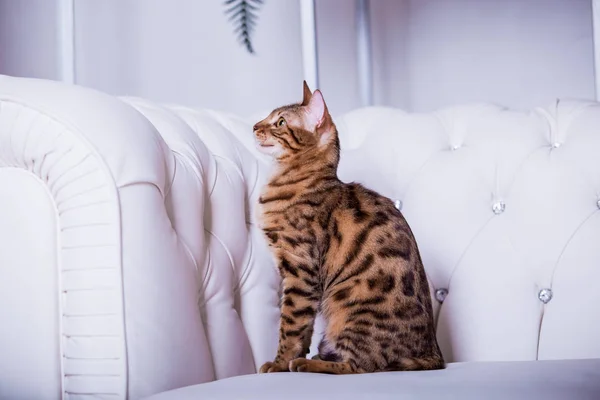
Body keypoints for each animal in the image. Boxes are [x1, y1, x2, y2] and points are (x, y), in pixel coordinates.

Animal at [253, 82, 446, 376]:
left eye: (281, 122)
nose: (254, 126)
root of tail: (434, 354)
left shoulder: (300, 271)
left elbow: (291, 325)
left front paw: (280, 363)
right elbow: (304, 328)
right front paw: (291, 358)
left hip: (349, 311)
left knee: (358, 367)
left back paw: (308, 364)